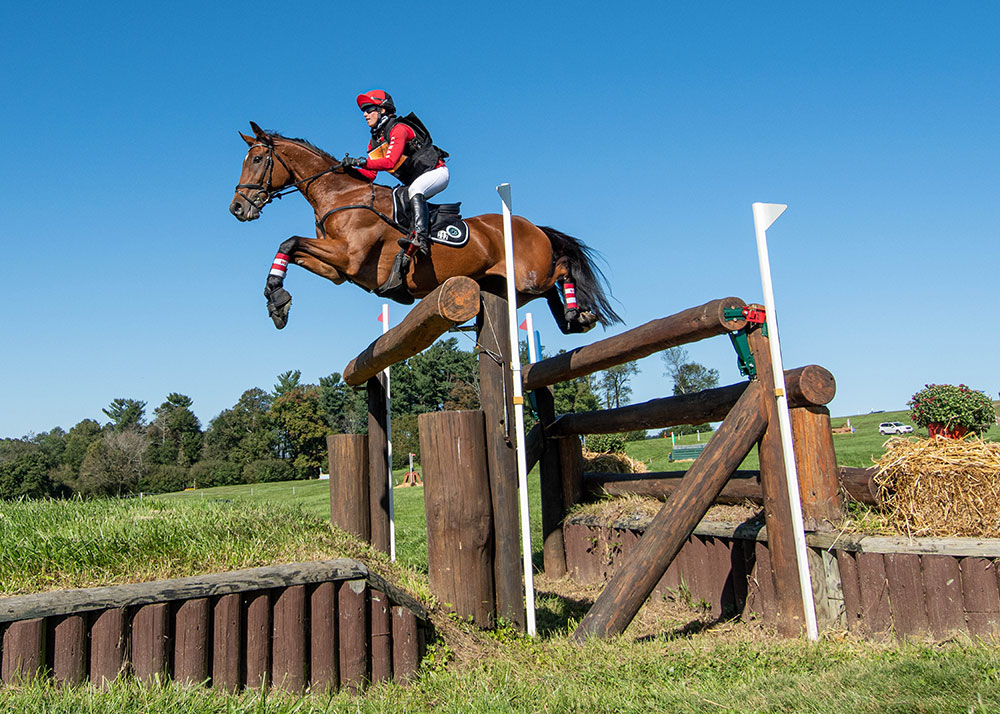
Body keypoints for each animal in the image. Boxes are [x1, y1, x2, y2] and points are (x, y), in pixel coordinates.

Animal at [229, 122, 621, 334]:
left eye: (258, 159)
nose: (236, 208)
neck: (342, 194)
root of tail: (531, 225)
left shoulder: (349, 256)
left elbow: (289, 241)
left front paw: (276, 299)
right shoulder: (339, 270)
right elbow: (290, 248)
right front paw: (277, 302)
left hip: (530, 274)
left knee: (563, 268)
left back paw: (579, 312)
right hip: (515, 288)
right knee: (550, 290)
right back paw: (573, 318)